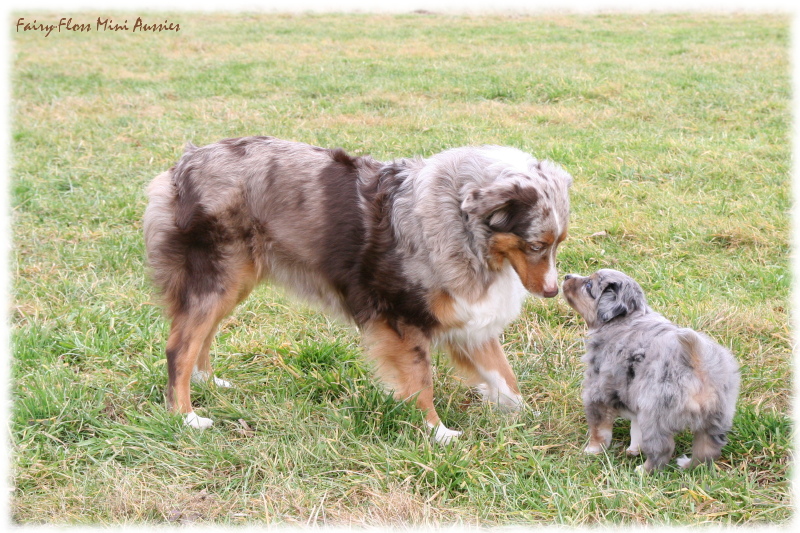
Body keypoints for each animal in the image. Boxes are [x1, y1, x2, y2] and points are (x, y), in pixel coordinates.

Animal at [142, 136, 568, 440]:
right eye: (535, 245)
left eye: (558, 243)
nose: (552, 291)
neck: (460, 222)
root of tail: (184, 164)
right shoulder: (401, 319)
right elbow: (420, 382)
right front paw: (438, 433)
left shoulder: (467, 320)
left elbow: (505, 377)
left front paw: (531, 418)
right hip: (218, 276)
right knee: (179, 346)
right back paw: (186, 417)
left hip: (234, 282)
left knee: (201, 335)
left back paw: (207, 381)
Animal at [564, 268, 736, 472]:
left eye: (589, 285)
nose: (566, 276)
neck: (625, 318)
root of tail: (697, 362)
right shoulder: (634, 394)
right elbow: (635, 427)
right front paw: (633, 449)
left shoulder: (597, 391)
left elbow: (599, 428)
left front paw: (592, 450)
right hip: (715, 419)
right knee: (707, 450)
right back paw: (687, 465)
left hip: (656, 416)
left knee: (662, 449)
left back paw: (643, 471)